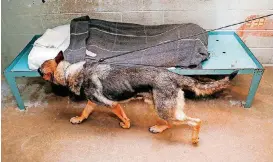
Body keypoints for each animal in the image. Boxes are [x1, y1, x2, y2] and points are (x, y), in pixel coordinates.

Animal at [37, 51, 236, 144]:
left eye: (40, 68)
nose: (36, 70)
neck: (69, 71)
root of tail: (175, 76)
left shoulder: (112, 104)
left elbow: (123, 117)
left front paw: (126, 125)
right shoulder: (93, 102)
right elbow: (85, 111)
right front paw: (79, 119)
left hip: (164, 109)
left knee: (195, 121)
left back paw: (194, 138)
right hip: (157, 106)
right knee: (169, 123)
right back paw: (158, 128)